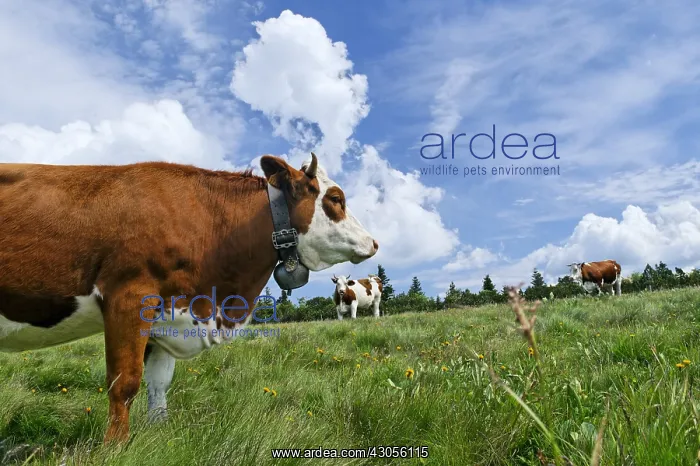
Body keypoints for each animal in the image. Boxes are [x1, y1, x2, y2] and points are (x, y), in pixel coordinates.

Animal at [0, 152, 378, 444]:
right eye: (335, 199)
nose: (374, 242)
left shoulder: (168, 317)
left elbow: (158, 385)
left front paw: (156, 436)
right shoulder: (127, 298)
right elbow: (124, 383)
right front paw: (115, 448)